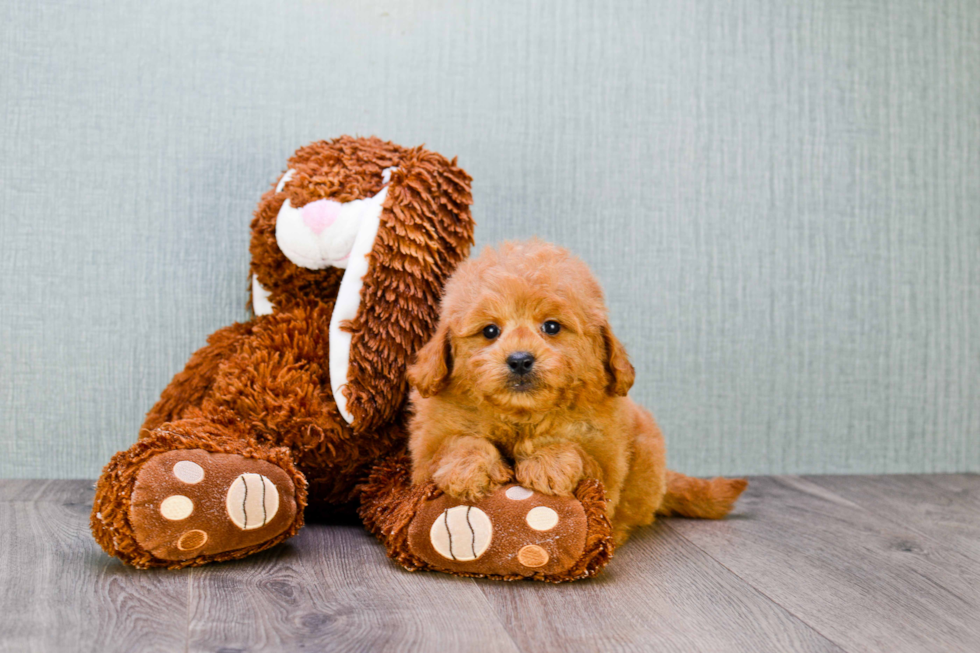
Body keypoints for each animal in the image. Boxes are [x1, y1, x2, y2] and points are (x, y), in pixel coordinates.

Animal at [410, 238, 748, 540]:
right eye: (490, 331)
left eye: (552, 327)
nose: (519, 360)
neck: (522, 414)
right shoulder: (426, 453)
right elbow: (456, 442)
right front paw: (468, 469)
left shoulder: (605, 459)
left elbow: (579, 454)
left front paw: (549, 463)